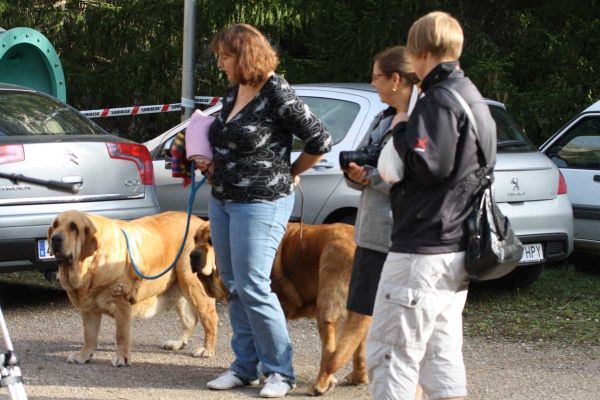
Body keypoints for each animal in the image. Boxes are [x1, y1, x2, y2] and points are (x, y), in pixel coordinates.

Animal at [47, 211, 218, 368]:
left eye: (73, 227)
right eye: (55, 225)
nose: (55, 238)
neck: (89, 265)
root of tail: (200, 222)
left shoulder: (121, 305)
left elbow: (121, 335)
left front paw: (122, 358)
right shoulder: (88, 309)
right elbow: (89, 335)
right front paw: (83, 355)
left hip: (193, 287)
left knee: (210, 318)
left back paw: (206, 349)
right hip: (180, 289)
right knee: (190, 319)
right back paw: (177, 343)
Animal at [190, 223, 372, 396]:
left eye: (211, 241)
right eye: (195, 239)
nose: (193, 255)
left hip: (327, 310)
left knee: (330, 352)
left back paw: (319, 386)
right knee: (358, 349)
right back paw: (358, 378)